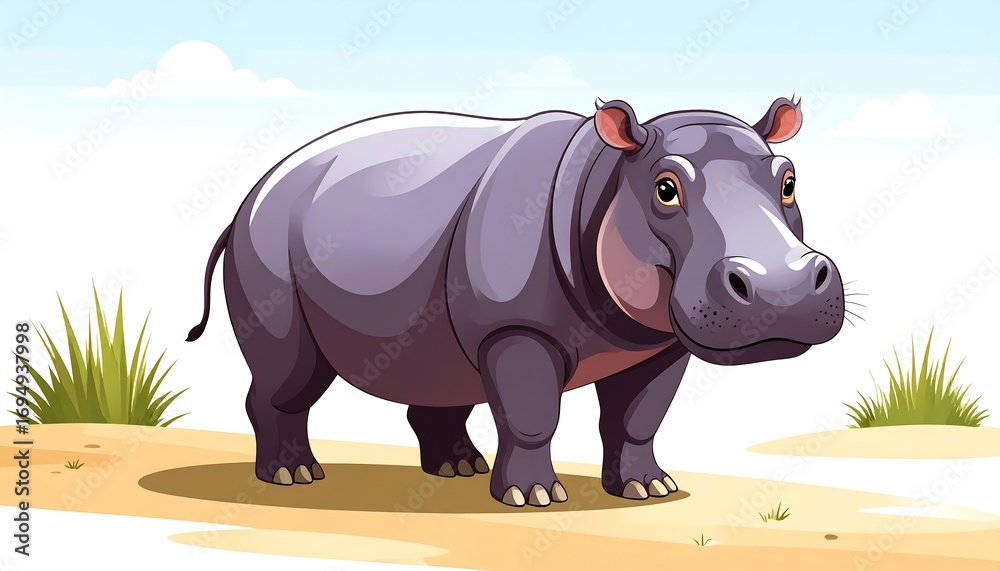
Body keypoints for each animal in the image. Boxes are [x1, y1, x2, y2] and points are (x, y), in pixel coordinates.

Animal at [187, 96, 844, 507]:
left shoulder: (659, 344)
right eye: (665, 189)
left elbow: (638, 419)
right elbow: (531, 414)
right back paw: (294, 477)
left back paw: (458, 469)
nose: (781, 288)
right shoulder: (517, 329)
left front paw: (649, 490)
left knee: (438, 374)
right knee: (286, 381)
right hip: (263, 249)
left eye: (789, 181)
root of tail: (244, 202)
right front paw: (535, 500)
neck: (608, 179)